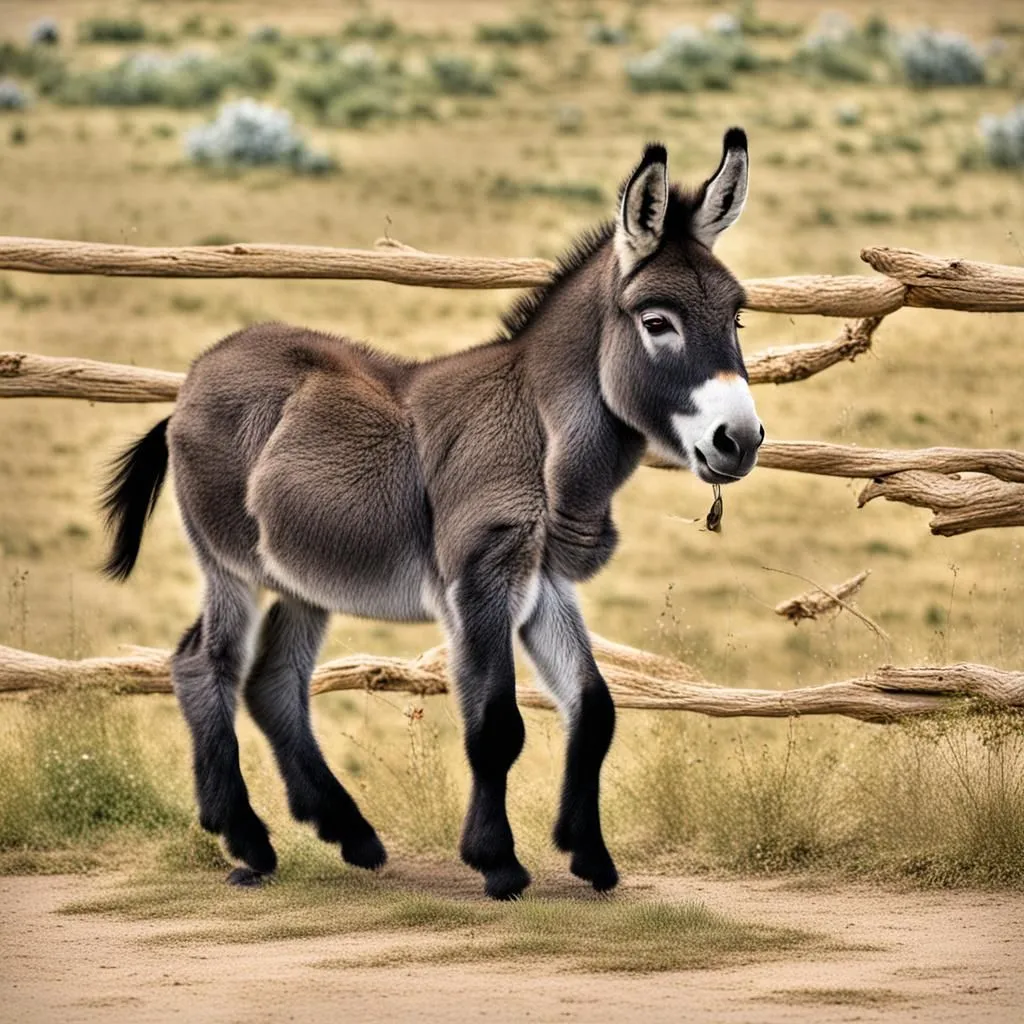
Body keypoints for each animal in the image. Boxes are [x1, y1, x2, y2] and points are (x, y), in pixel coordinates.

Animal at [101, 132, 761, 901]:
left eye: (736, 318)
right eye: (658, 323)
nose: (740, 441)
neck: (541, 430)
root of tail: (192, 379)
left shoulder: (543, 586)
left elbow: (593, 708)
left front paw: (589, 855)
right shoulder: (480, 584)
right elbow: (497, 726)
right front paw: (498, 862)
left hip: (302, 575)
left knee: (269, 683)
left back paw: (348, 834)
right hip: (229, 565)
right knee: (207, 666)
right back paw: (249, 843)